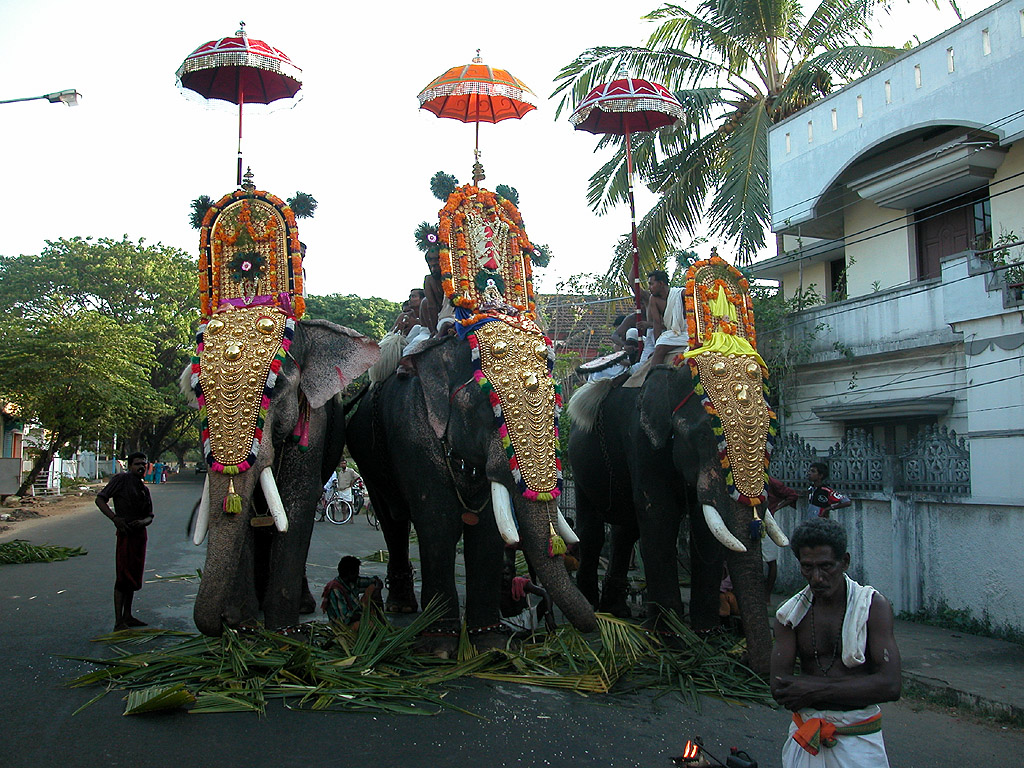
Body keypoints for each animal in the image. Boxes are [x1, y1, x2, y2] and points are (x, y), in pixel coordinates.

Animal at [182, 186, 378, 638]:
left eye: (279, 386)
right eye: (198, 392)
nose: (218, 625)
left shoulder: (315, 418)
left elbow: (298, 501)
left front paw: (280, 628)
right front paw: (242, 624)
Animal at [565, 253, 786, 671]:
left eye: (771, 436)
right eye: (702, 433)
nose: (754, 665)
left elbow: (703, 522)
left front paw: (705, 636)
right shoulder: (640, 436)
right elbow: (661, 512)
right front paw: (671, 639)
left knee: (626, 530)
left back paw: (619, 611)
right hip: (580, 463)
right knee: (592, 528)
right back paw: (594, 610)